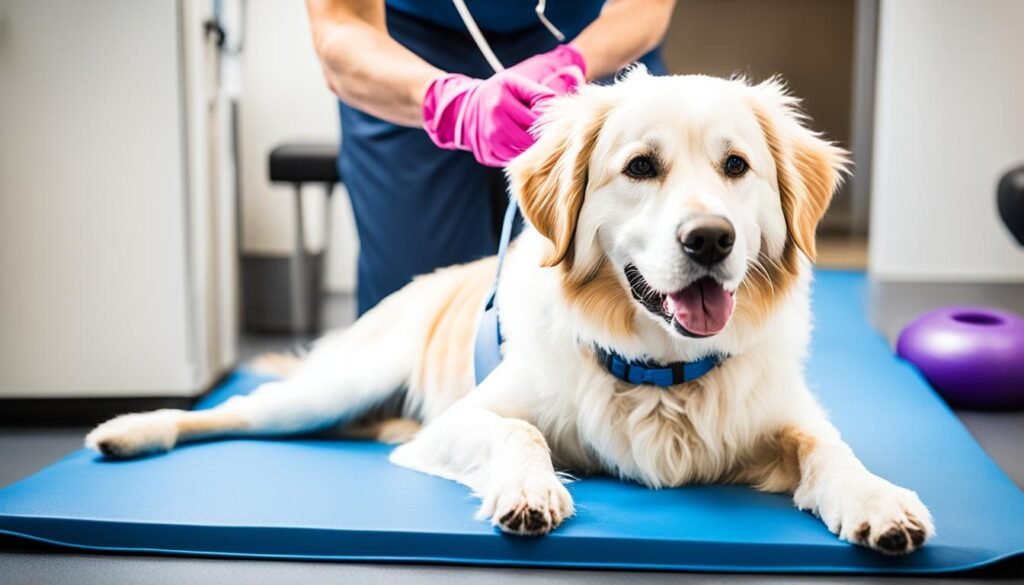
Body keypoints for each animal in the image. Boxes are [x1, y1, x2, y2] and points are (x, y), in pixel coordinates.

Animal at [88, 71, 937, 557]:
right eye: (640, 167)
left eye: (736, 166)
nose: (710, 239)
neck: (659, 373)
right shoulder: (464, 419)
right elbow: (521, 431)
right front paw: (530, 491)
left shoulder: (787, 418)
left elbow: (830, 450)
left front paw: (877, 499)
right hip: (330, 386)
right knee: (228, 412)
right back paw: (131, 429)